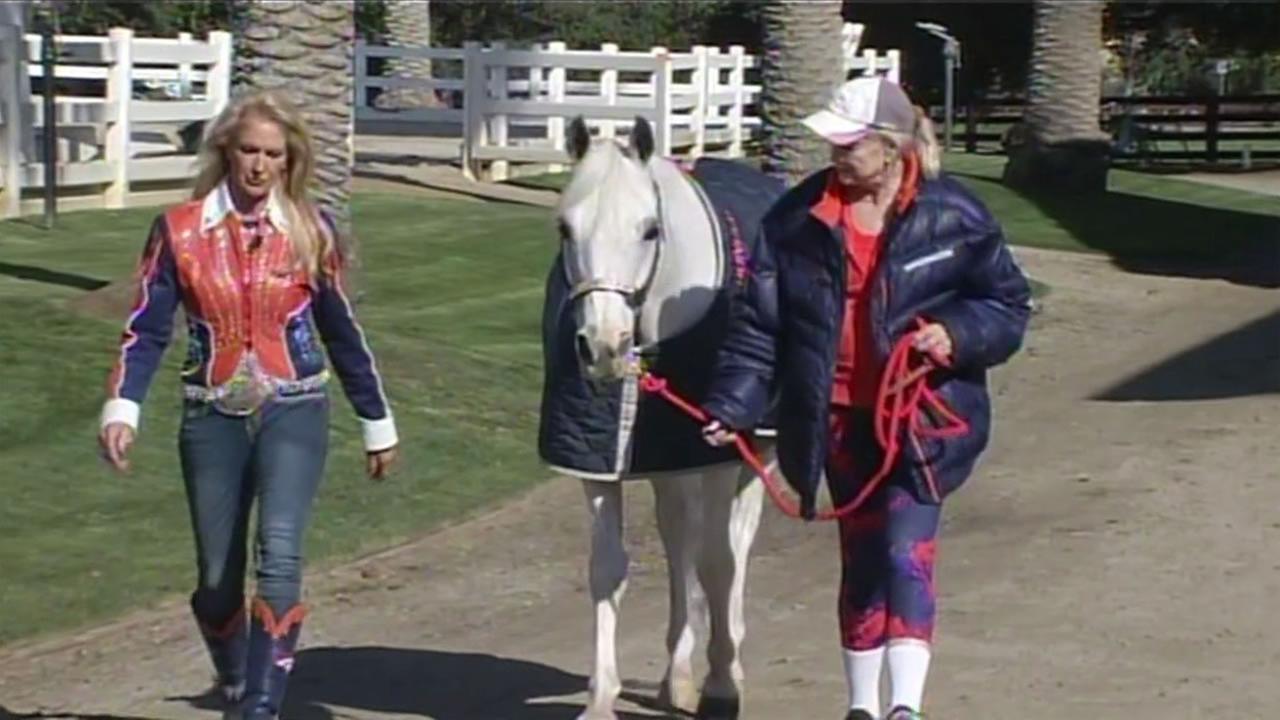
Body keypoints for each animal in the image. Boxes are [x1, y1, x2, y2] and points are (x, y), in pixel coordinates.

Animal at [537, 114, 783, 712]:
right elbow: (608, 568)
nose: (603, 346)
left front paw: (721, 685)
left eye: (649, 229)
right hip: (665, 460)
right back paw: (678, 673)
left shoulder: (714, 451)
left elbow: (719, 563)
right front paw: (601, 699)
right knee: (679, 538)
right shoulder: (601, 461)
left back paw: (728, 660)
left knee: (736, 542)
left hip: (753, 448)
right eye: (564, 229)